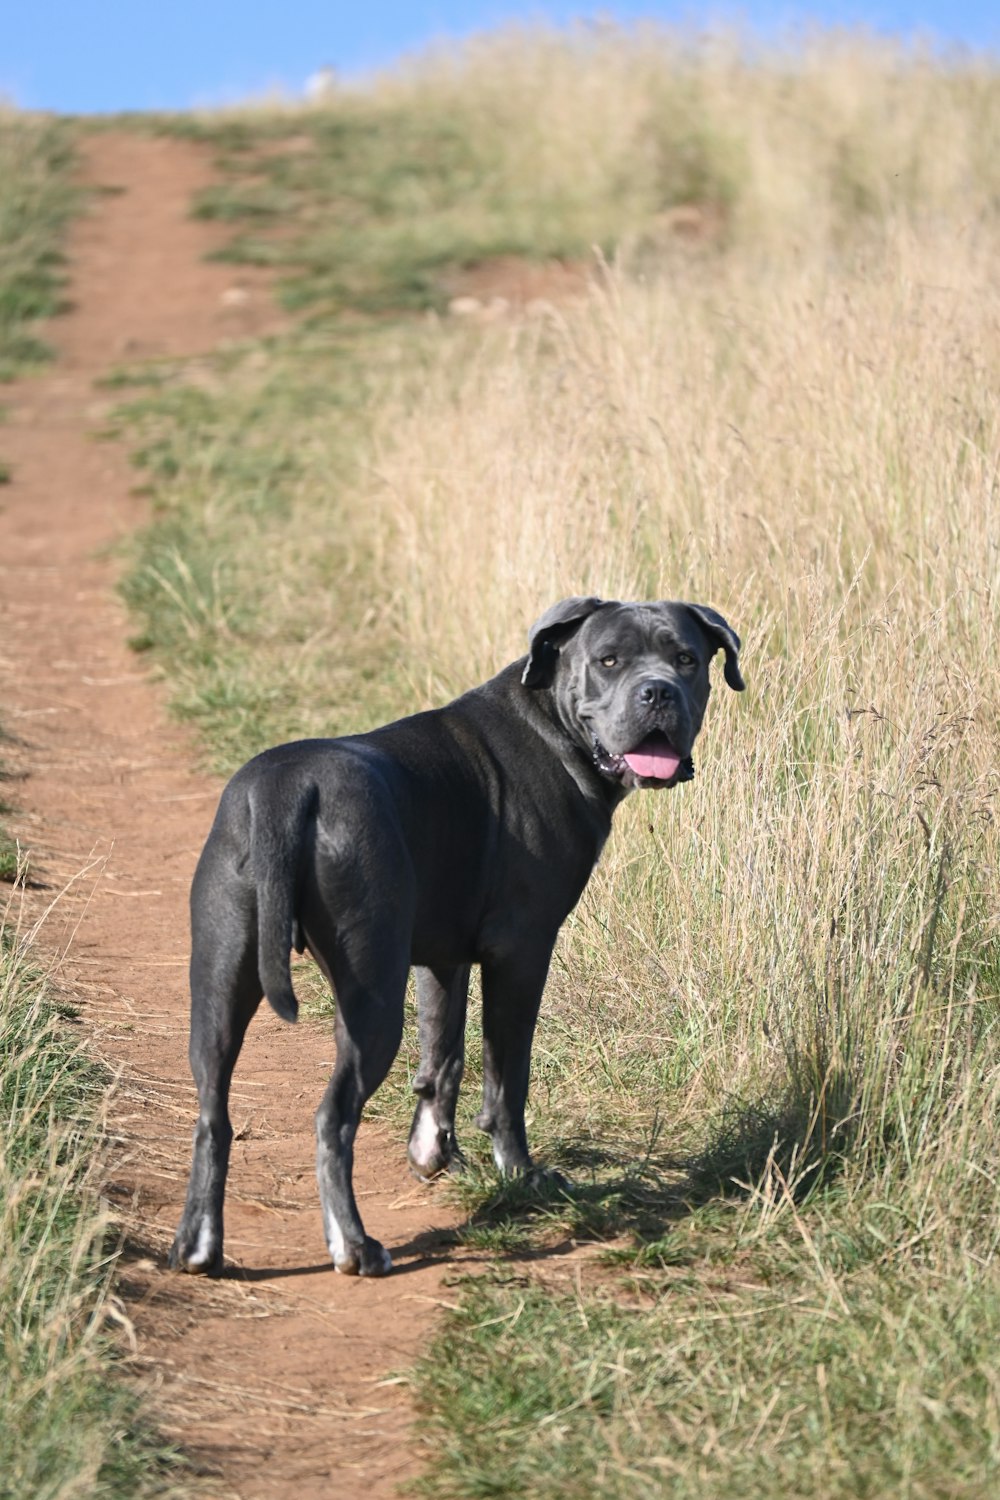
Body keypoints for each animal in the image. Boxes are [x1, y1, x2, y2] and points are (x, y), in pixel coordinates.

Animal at [170, 597, 743, 1278]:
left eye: (686, 659)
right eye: (608, 661)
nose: (658, 692)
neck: (552, 724)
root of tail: (289, 790)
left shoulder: (440, 958)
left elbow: (443, 1055)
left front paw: (433, 1154)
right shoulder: (521, 952)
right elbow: (506, 1074)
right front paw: (520, 1175)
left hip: (221, 979)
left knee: (213, 1113)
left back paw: (198, 1247)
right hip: (371, 996)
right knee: (332, 1118)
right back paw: (354, 1246)